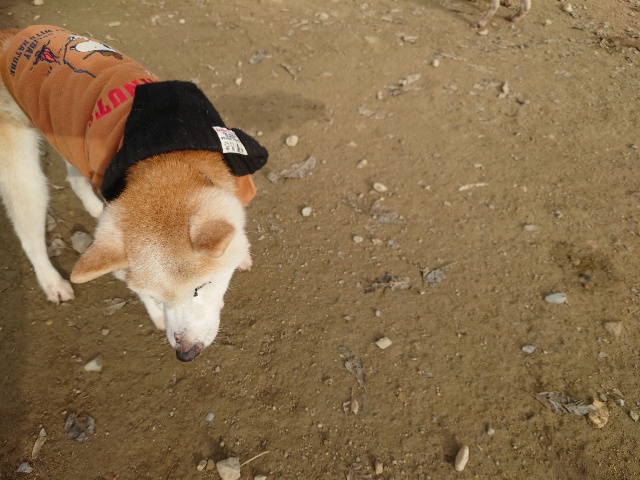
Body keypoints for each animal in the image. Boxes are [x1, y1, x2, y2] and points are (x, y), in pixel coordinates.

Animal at [0, 26, 268, 361]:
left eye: (200, 287)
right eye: (154, 295)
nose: (185, 353)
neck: (166, 157)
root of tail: (10, 36)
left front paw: (241, 251)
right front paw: (156, 316)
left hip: (66, 140)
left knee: (74, 179)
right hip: (25, 178)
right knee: (30, 238)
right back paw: (52, 281)